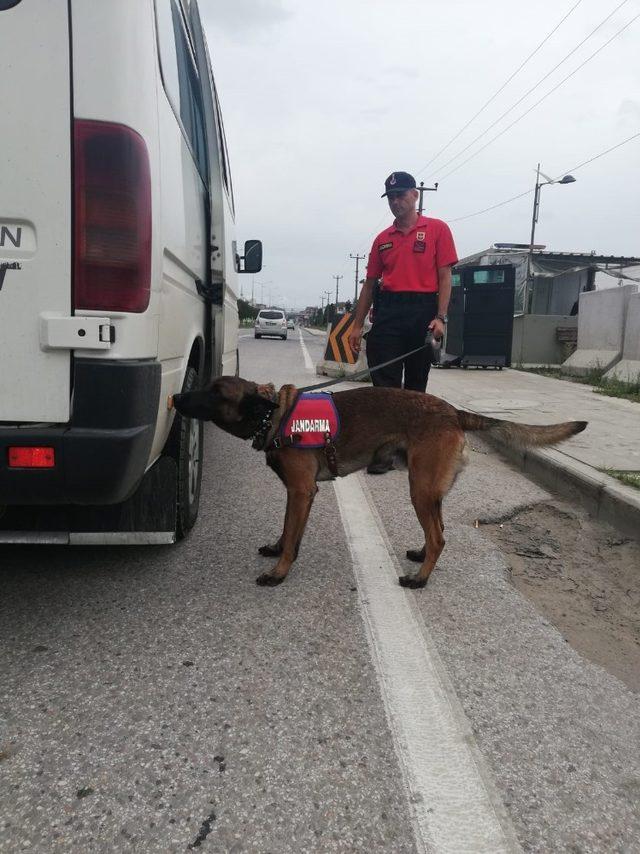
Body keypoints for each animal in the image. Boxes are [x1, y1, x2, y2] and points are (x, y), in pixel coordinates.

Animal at [169, 380, 584, 588]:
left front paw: (279, 572)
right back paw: (420, 557)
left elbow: (290, 534)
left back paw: (420, 579)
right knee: (438, 530)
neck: (275, 414)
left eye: (215, 392)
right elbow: (289, 532)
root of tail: (454, 412)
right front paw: (280, 549)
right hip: (430, 491)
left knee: (439, 537)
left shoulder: (301, 491)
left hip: (419, 489)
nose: (176, 395)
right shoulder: (301, 494)